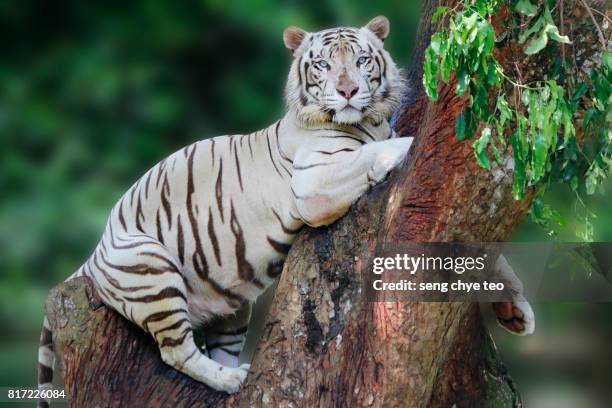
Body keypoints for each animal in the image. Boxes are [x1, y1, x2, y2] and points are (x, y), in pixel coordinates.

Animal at [39, 16, 536, 402]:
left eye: (361, 60)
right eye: (323, 64)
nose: (348, 90)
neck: (369, 122)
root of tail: (92, 255)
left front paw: (515, 310)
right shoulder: (314, 184)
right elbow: (376, 153)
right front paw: (407, 144)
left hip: (230, 309)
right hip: (150, 266)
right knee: (175, 350)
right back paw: (232, 380)